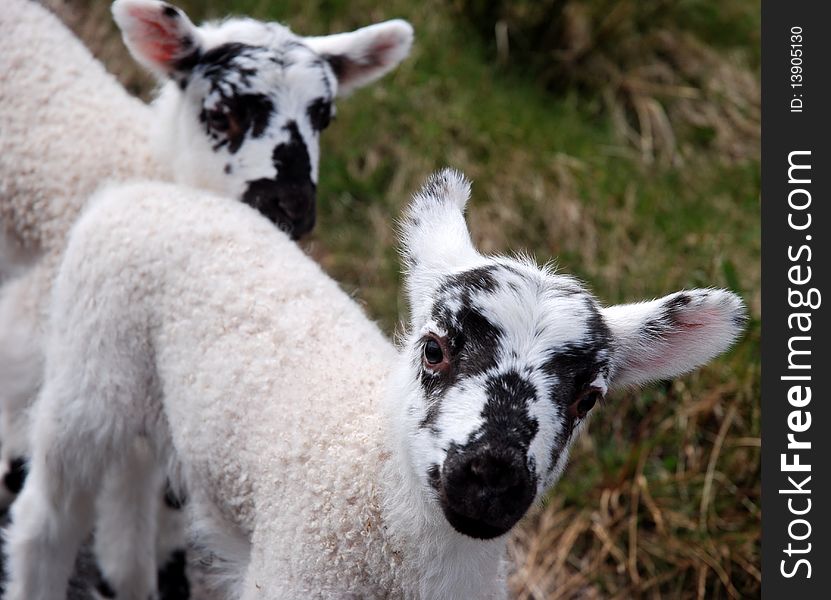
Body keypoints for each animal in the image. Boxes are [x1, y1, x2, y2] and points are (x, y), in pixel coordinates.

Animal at [4, 169, 748, 600]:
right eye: (433, 348)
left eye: (587, 398)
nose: (492, 475)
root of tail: (148, 189)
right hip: (90, 366)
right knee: (47, 517)